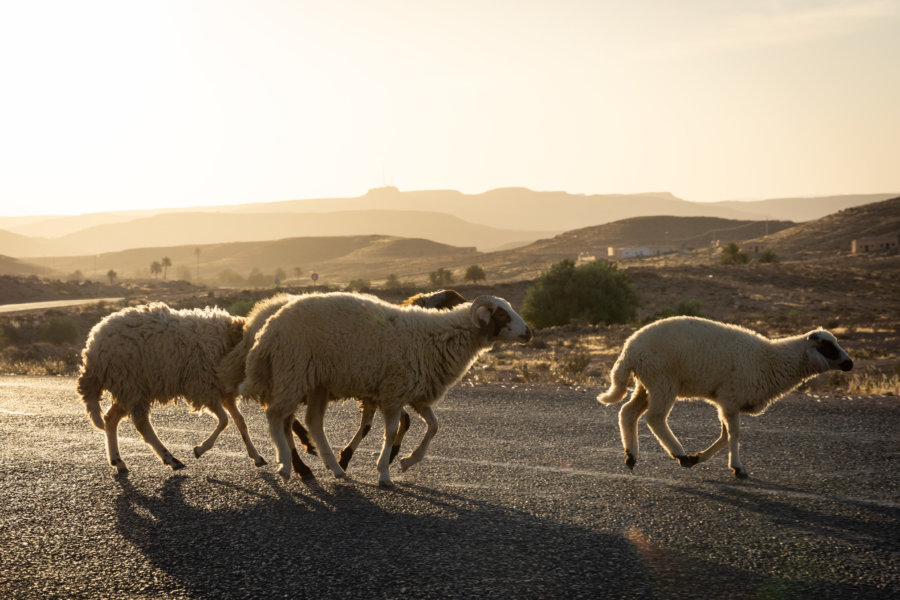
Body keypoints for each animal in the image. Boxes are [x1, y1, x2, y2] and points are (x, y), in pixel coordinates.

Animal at [80, 302, 268, 472]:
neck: (230, 342)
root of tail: (93, 346)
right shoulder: (204, 388)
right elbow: (224, 421)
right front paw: (199, 449)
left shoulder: (224, 392)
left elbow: (240, 422)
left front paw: (256, 456)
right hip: (131, 385)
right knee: (142, 424)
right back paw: (170, 459)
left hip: (128, 388)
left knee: (110, 419)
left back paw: (118, 462)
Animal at [241, 292, 536, 488]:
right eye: (501, 314)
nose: (529, 332)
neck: (439, 336)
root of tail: (268, 327)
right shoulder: (394, 392)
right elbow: (392, 432)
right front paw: (384, 472)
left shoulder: (417, 395)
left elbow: (434, 426)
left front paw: (407, 461)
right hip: (293, 373)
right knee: (275, 416)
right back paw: (286, 465)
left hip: (316, 383)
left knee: (312, 421)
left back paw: (335, 467)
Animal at [596, 316, 852, 480]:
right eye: (829, 347)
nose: (850, 364)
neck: (771, 360)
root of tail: (629, 349)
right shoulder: (730, 399)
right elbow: (734, 434)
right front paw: (738, 468)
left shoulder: (725, 401)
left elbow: (725, 435)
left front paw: (700, 458)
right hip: (662, 381)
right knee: (654, 418)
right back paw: (679, 454)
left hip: (646, 383)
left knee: (628, 412)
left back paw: (631, 456)